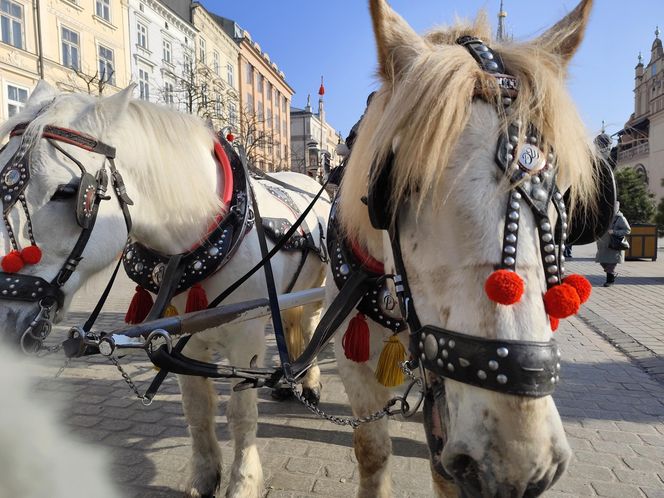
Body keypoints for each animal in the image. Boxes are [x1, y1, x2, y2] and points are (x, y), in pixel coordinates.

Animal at [0, 82, 330, 498]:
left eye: (68, 191)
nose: (4, 320)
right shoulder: (180, 336)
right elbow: (196, 408)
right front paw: (205, 477)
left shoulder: (246, 339)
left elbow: (241, 414)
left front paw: (243, 483)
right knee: (291, 325)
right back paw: (290, 381)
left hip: (318, 289)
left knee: (313, 326)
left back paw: (310, 382)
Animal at [330, 0, 596, 498]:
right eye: (401, 187)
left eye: (557, 192)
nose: (520, 466)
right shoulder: (352, 361)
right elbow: (371, 451)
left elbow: (442, 469)